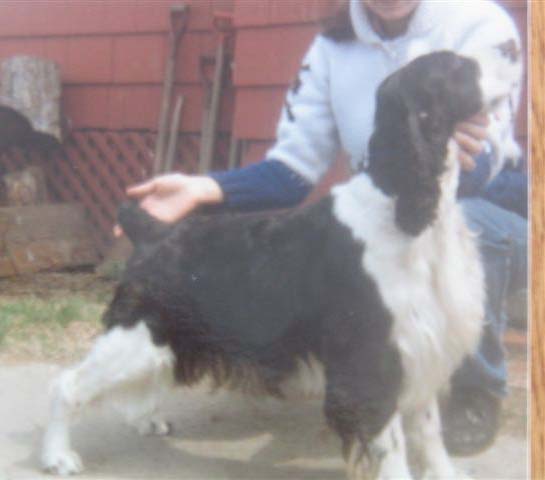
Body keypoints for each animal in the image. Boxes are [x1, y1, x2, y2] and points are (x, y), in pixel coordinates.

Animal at [42, 50, 520, 478]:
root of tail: (153, 229)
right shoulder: (372, 362)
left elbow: (430, 436)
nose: (513, 50)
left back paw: (145, 420)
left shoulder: (420, 347)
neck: (400, 207)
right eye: (458, 66)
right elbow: (392, 451)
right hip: (139, 332)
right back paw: (58, 456)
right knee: (68, 385)